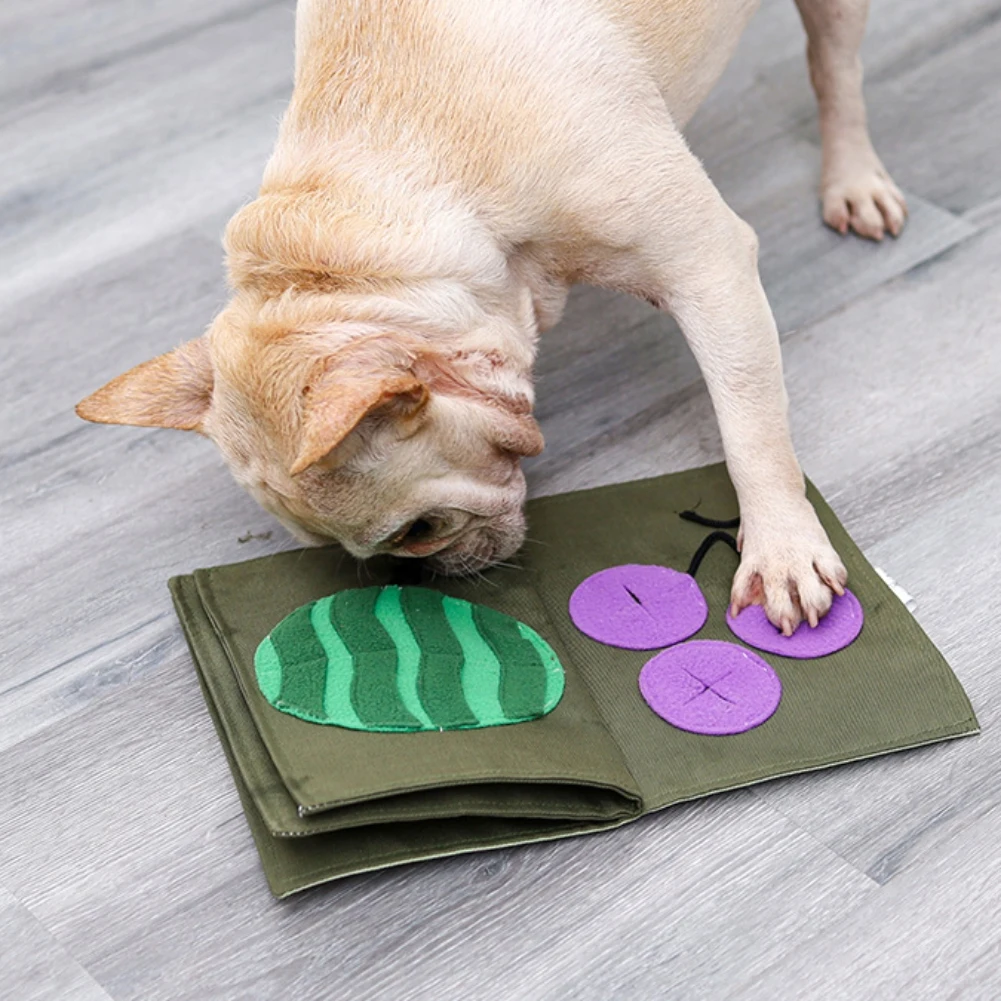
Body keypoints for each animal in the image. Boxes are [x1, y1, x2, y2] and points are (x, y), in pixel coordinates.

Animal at [76, 0, 908, 636]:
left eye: (416, 532)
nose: (421, 577)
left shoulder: (707, 267)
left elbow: (750, 425)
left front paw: (781, 547)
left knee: (835, 70)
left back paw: (853, 179)